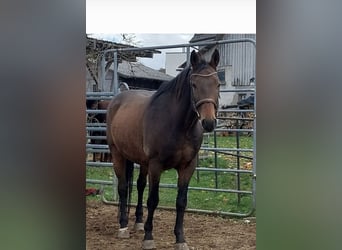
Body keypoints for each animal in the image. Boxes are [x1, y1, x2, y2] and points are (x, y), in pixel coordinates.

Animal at [105, 49, 220, 250]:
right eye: (194, 85)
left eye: (218, 84)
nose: (208, 122)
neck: (178, 125)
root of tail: (118, 99)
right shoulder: (156, 165)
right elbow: (153, 200)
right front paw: (149, 238)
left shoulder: (188, 166)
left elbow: (181, 202)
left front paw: (180, 239)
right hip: (117, 154)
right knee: (123, 188)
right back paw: (123, 226)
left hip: (141, 161)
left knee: (139, 186)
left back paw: (138, 222)